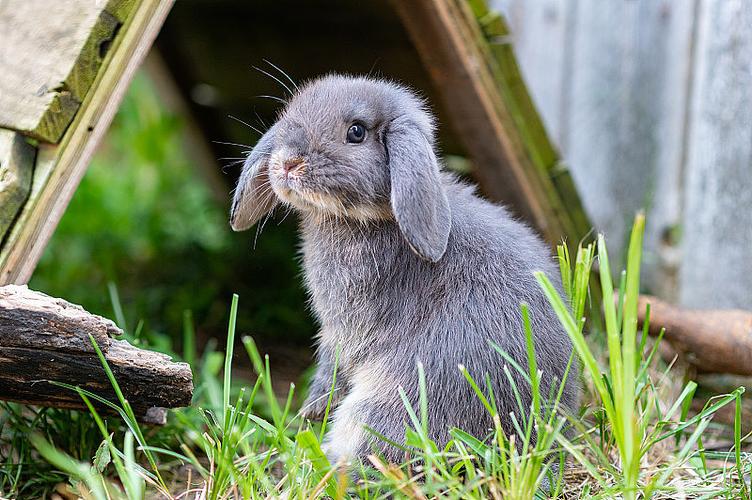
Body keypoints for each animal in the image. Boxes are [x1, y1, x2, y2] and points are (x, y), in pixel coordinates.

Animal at [231, 75, 580, 468]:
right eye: (288, 114)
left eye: (356, 132)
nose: (288, 162)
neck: (372, 218)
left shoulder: (348, 329)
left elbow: (335, 362)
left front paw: (313, 407)